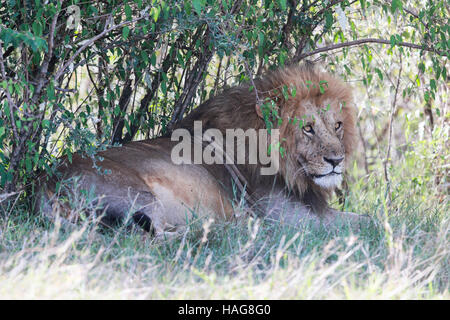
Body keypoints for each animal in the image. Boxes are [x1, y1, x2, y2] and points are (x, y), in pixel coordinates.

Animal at [35, 63, 366, 239]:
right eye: (308, 128)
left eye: (337, 125)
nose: (337, 160)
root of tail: (44, 184)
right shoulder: (294, 221)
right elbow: (366, 222)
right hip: (139, 195)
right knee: (154, 239)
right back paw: (224, 228)